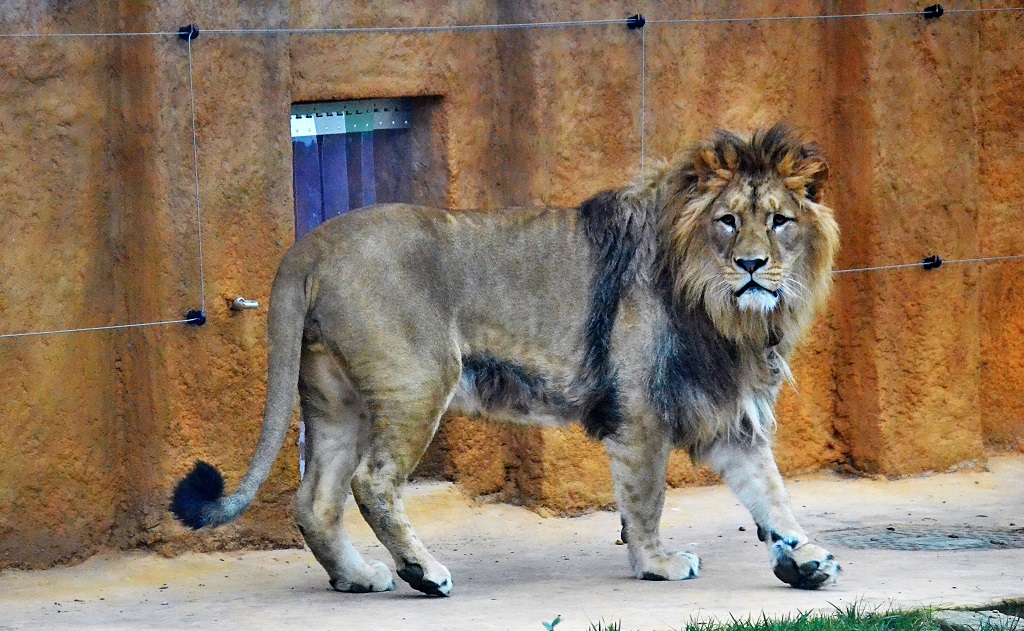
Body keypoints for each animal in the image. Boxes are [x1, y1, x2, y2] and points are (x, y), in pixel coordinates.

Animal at [174, 123, 839, 598]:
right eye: (728, 222)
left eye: (779, 222)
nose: (751, 265)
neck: (728, 315)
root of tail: (307, 246)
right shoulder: (641, 412)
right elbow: (646, 498)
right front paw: (657, 563)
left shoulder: (726, 411)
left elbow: (770, 492)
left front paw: (805, 559)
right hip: (417, 382)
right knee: (373, 483)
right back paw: (423, 573)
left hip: (338, 401)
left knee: (315, 502)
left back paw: (358, 577)